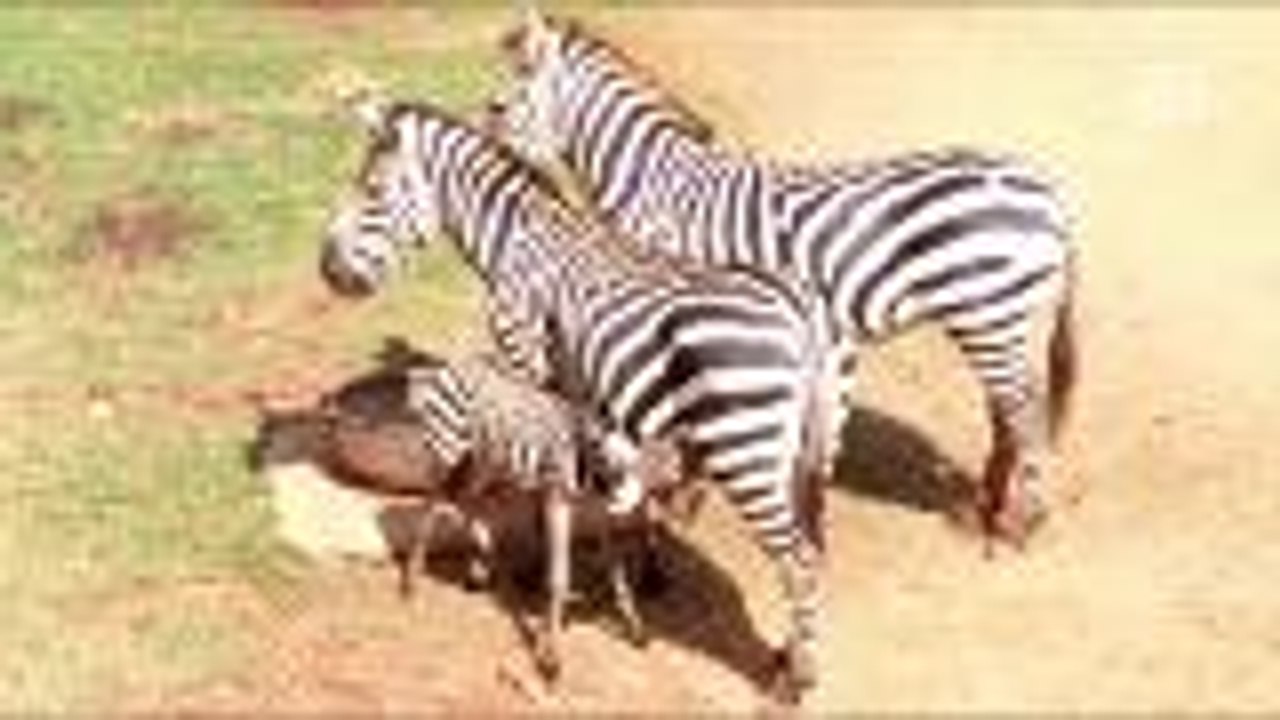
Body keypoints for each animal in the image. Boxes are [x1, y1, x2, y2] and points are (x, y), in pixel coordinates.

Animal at [318, 97, 841, 701]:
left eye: (373, 190)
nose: (328, 272)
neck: (517, 243)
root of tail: (801, 315)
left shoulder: (524, 359)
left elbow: (516, 474)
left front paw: (517, 574)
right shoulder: (571, 385)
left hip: (746, 447)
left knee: (798, 560)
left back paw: (796, 681)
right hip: (800, 450)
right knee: (812, 550)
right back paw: (788, 654)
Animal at [488, 11, 1079, 545]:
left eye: (497, 107)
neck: (657, 186)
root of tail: (1050, 193)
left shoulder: (675, 302)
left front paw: (682, 498)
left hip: (990, 313)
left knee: (1024, 415)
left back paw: (1018, 524)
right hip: (997, 317)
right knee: (1009, 411)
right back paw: (987, 509)